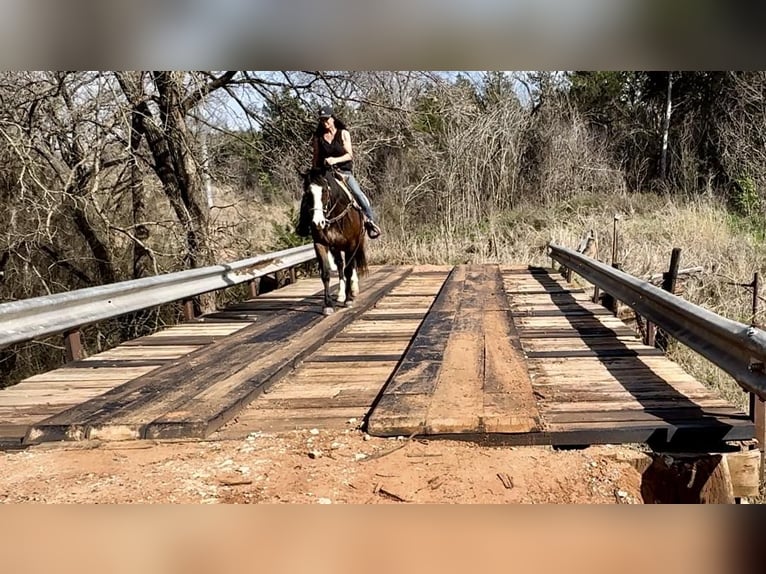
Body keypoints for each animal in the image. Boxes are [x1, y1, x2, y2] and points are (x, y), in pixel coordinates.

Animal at [298, 166, 370, 318]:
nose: (317, 223)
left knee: (351, 265)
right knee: (340, 264)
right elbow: (326, 273)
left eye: (325, 191)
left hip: (355, 243)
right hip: (335, 247)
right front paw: (328, 305)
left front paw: (349, 300)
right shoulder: (320, 244)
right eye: (307, 193)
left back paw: (353, 290)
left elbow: (349, 270)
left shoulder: (351, 244)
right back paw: (341, 294)